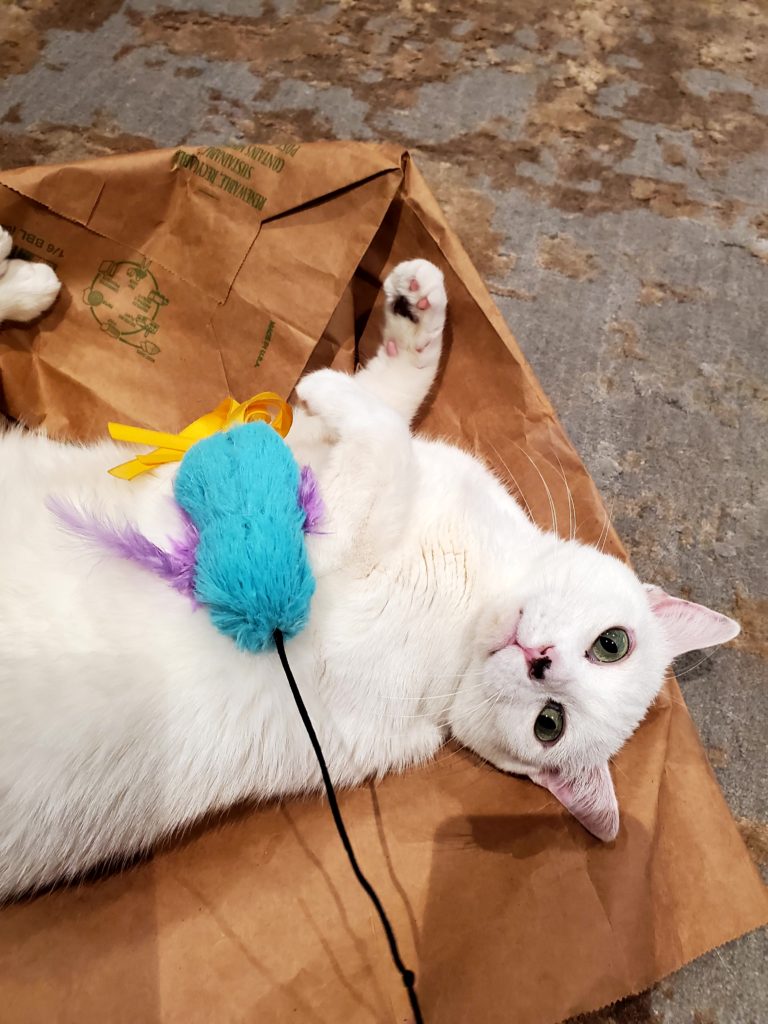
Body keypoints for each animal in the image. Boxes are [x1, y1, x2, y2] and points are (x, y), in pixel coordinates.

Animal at [0, 260, 741, 901]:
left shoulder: (332, 556)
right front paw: (415, 314)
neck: (476, 576)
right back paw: (26, 279)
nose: (541, 660)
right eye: (613, 644)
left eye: (548, 725)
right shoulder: (331, 453)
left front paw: (324, 383)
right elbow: (389, 398)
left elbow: (380, 436)